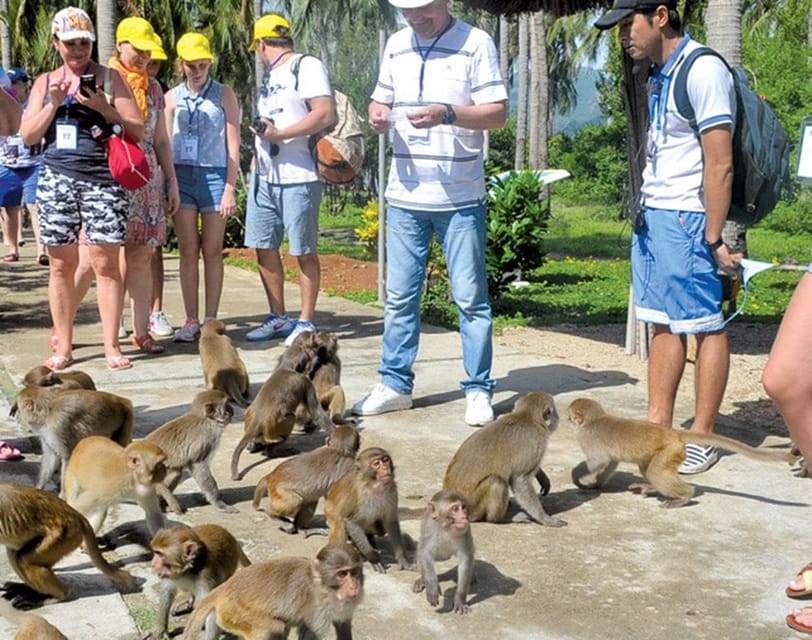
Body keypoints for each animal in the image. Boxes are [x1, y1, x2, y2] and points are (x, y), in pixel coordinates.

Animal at [182, 544, 364, 640]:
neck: (325, 588)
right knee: (272, 628)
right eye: (342, 574)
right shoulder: (317, 612)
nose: (354, 586)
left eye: (354, 572)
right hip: (234, 612)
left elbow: (343, 626)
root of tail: (226, 587)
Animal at [324, 444, 412, 576]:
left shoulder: (392, 489)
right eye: (376, 463)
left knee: (379, 526)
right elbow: (351, 522)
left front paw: (402, 558)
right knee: (340, 525)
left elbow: (390, 521)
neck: (374, 485)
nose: (386, 468)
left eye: (385, 460)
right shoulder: (359, 495)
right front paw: (373, 559)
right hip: (330, 512)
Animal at [440, 392, 568, 528]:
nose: (557, 418)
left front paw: (542, 476)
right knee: (497, 482)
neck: (526, 416)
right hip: (473, 508)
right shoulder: (537, 440)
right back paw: (501, 519)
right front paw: (544, 518)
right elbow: (520, 480)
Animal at [564, 398, 792, 508]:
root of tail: (673, 433)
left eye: (569, 416)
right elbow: (610, 462)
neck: (593, 420)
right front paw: (597, 484)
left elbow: (598, 460)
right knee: (649, 469)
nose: (567, 421)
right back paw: (652, 487)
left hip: (670, 451)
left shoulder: (588, 438)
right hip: (669, 452)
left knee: (656, 472)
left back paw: (684, 496)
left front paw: (577, 478)